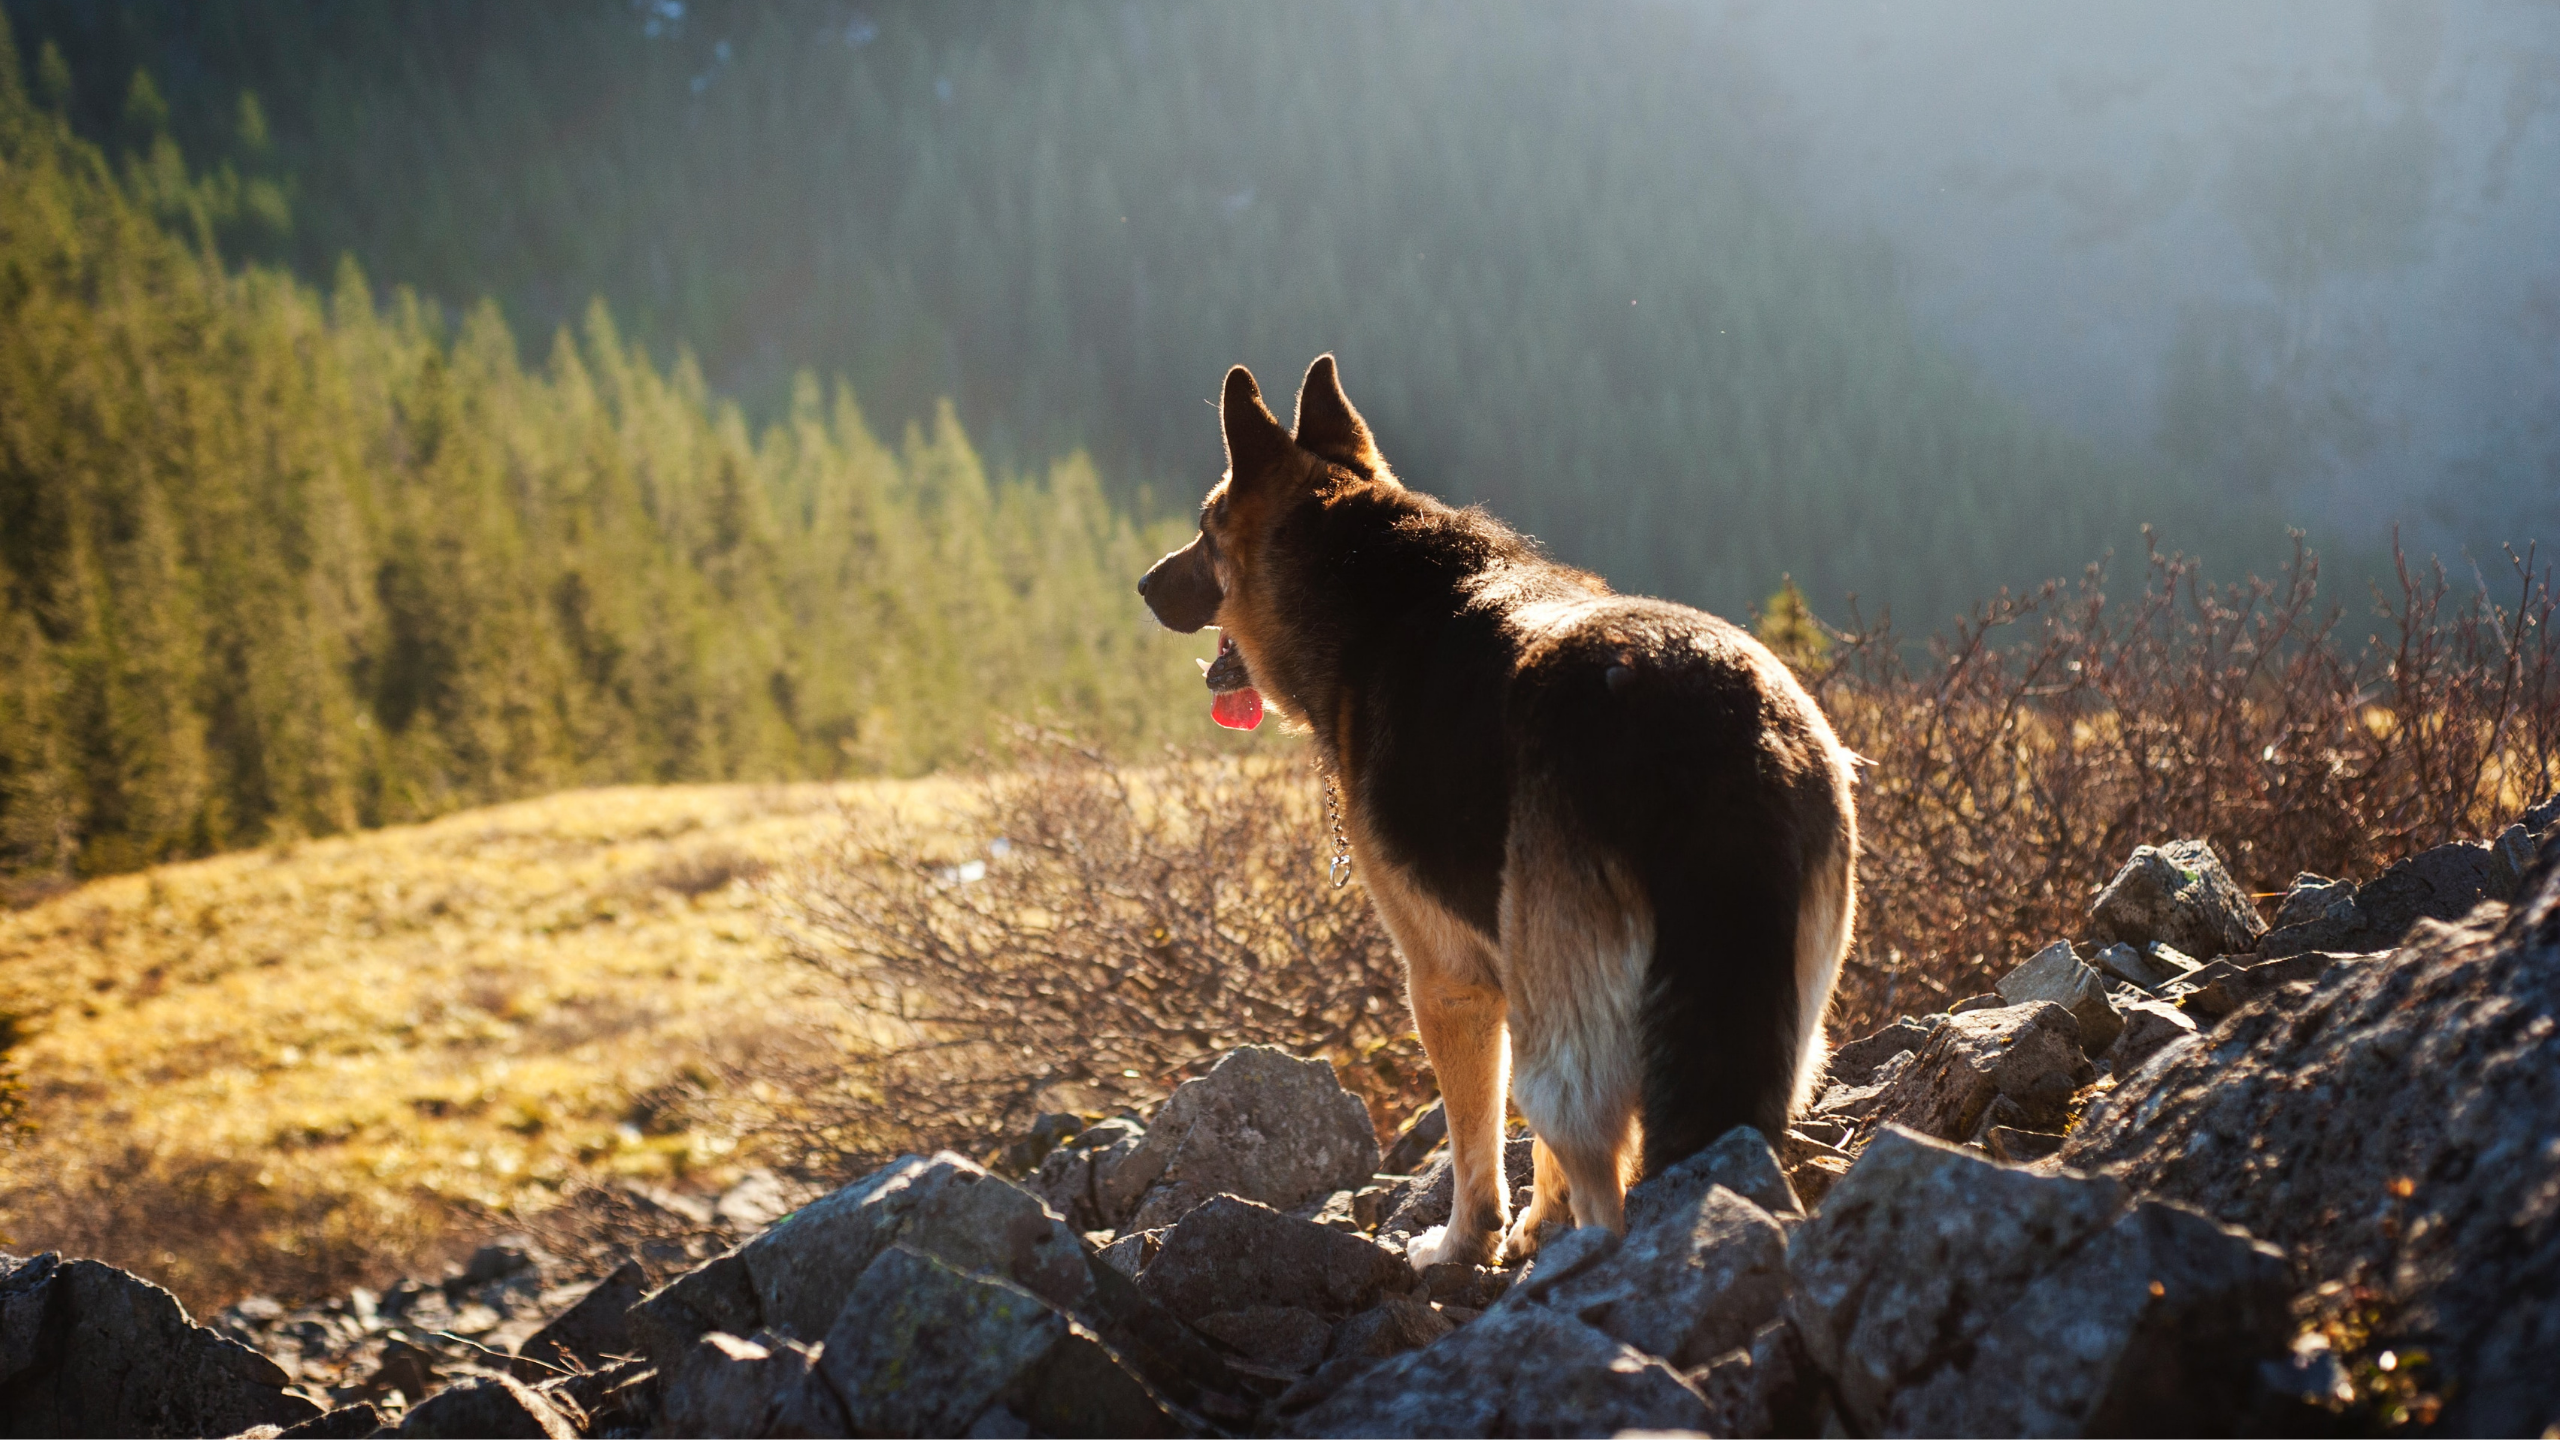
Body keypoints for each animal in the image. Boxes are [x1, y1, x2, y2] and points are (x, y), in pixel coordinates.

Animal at [1141, 358, 1863, 1265]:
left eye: (1207, 531)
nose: (1142, 583)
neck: (1372, 579)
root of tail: (1712, 724)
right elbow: (1539, 1162)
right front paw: (1534, 1226)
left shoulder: (1447, 983)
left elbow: (1475, 1145)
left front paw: (1464, 1244)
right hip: (1783, 1021)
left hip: (1567, 1040)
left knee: (1597, 1166)